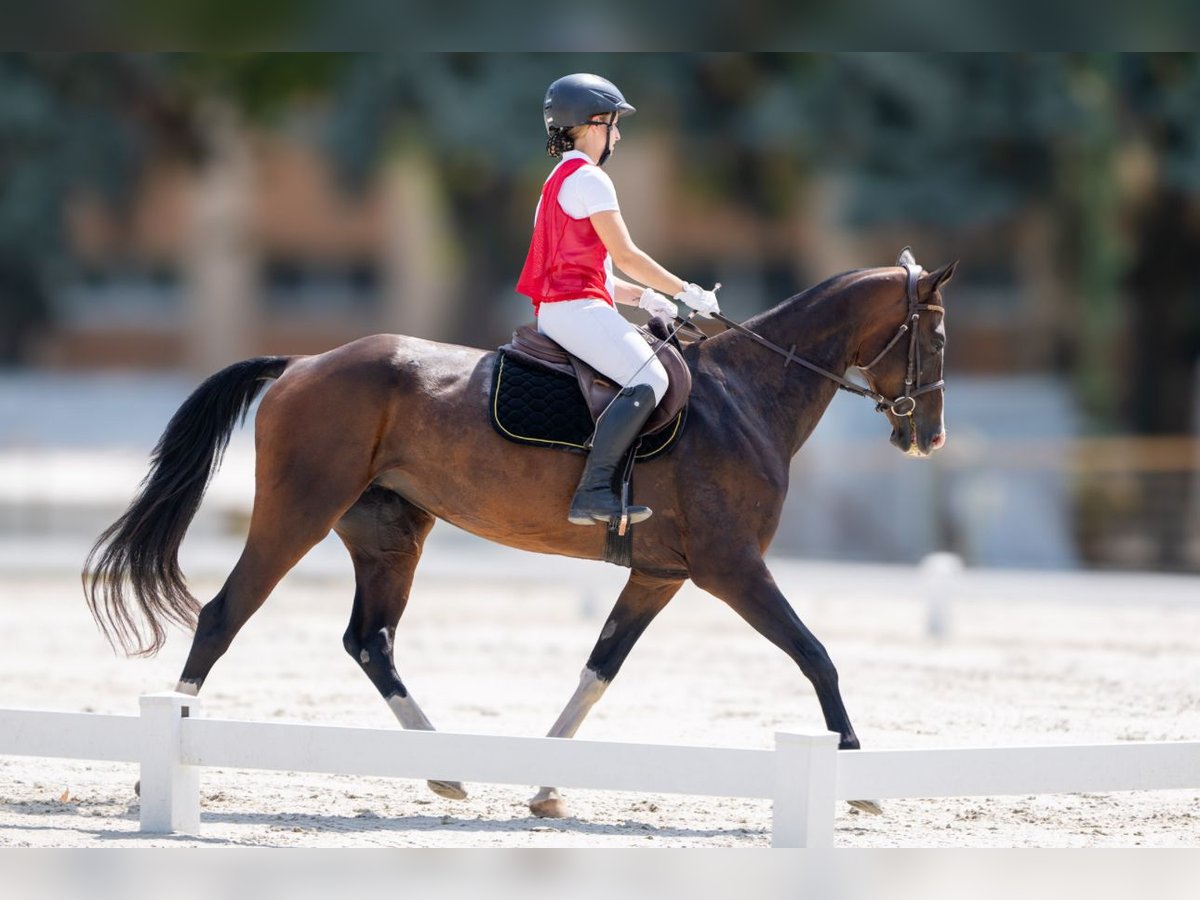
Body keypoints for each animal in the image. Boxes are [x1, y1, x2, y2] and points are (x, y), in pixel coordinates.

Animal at [84, 250, 950, 820]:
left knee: (370, 641)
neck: (747, 393)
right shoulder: (731, 568)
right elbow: (817, 655)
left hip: (388, 532)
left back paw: (445, 769)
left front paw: (546, 784)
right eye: (936, 339)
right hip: (297, 512)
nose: (929, 438)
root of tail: (304, 362)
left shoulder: (660, 575)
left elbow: (600, 667)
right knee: (223, 616)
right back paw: (156, 774)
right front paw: (858, 776)